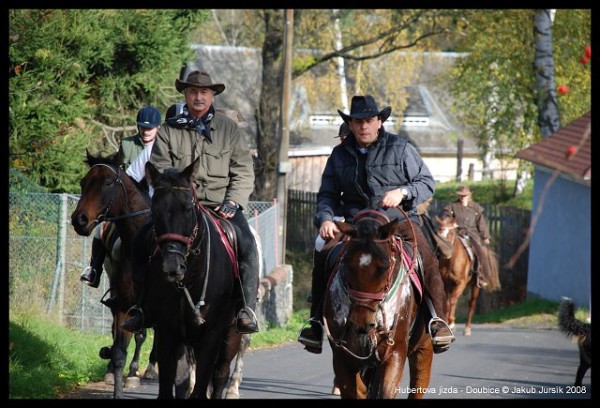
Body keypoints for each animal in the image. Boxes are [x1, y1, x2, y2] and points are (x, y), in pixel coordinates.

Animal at [71, 151, 157, 398]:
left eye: (108, 183)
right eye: (83, 182)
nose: (79, 220)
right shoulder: (123, 303)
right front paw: (114, 372)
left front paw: (135, 373)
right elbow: (119, 351)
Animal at [138, 159, 244, 398]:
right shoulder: (167, 334)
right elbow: (171, 387)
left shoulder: (210, 336)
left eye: (188, 209)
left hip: (231, 335)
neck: (189, 280)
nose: (172, 266)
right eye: (155, 210)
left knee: (220, 376)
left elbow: (201, 388)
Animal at [324, 210, 432, 398]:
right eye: (347, 264)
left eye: (384, 267)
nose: (361, 323)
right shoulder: (342, 357)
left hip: (423, 348)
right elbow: (356, 391)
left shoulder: (395, 353)